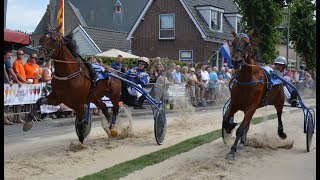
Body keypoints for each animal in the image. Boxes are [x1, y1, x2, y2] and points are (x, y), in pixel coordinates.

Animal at [222, 29, 288, 160]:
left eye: (247, 43)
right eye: (233, 42)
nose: (236, 61)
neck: (246, 79)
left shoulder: (252, 105)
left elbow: (240, 129)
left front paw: (232, 150)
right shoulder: (234, 104)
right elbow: (225, 121)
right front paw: (230, 128)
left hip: (279, 100)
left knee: (279, 114)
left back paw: (281, 133)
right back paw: (242, 142)